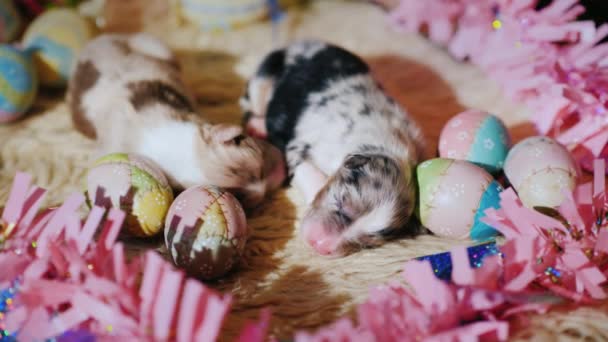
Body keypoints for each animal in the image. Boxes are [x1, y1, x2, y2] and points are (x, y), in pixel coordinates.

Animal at [240, 40, 426, 256]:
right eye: (341, 203)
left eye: (368, 241)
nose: (320, 246)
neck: (388, 146)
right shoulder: (300, 149)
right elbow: (311, 176)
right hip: (262, 81)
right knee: (249, 105)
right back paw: (258, 126)